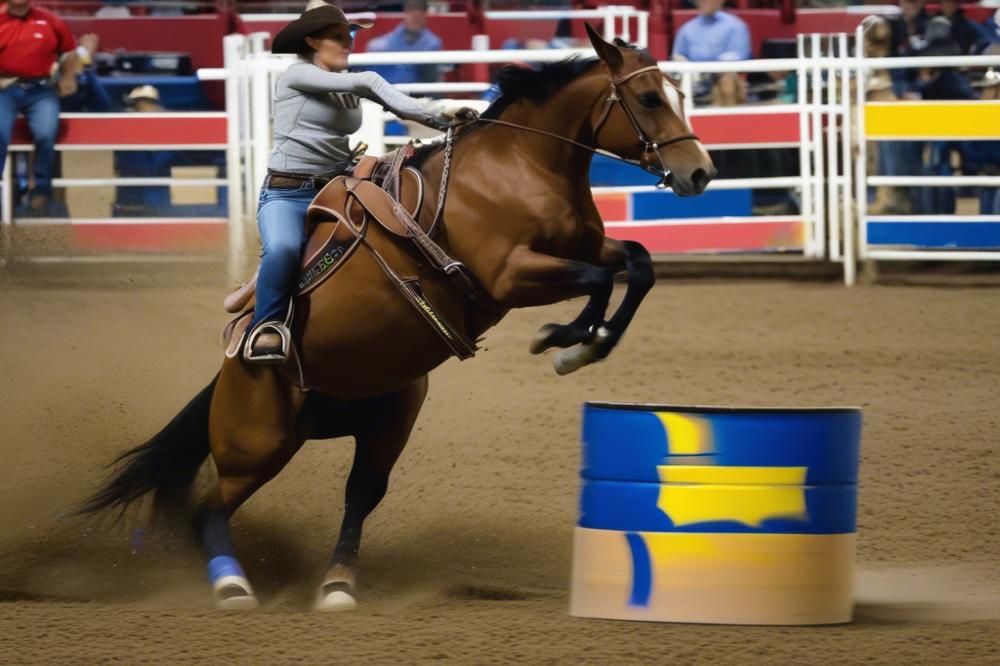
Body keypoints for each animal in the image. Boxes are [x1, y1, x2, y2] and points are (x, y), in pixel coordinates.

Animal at [82, 26, 716, 608]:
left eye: (678, 93)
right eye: (649, 98)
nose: (700, 173)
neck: (519, 166)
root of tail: (228, 371)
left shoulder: (584, 251)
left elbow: (638, 264)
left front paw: (588, 341)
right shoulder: (510, 275)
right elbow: (601, 279)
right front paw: (565, 341)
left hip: (385, 423)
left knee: (358, 496)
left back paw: (336, 587)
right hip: (256, 443)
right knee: (209, 510)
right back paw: (234, 587)